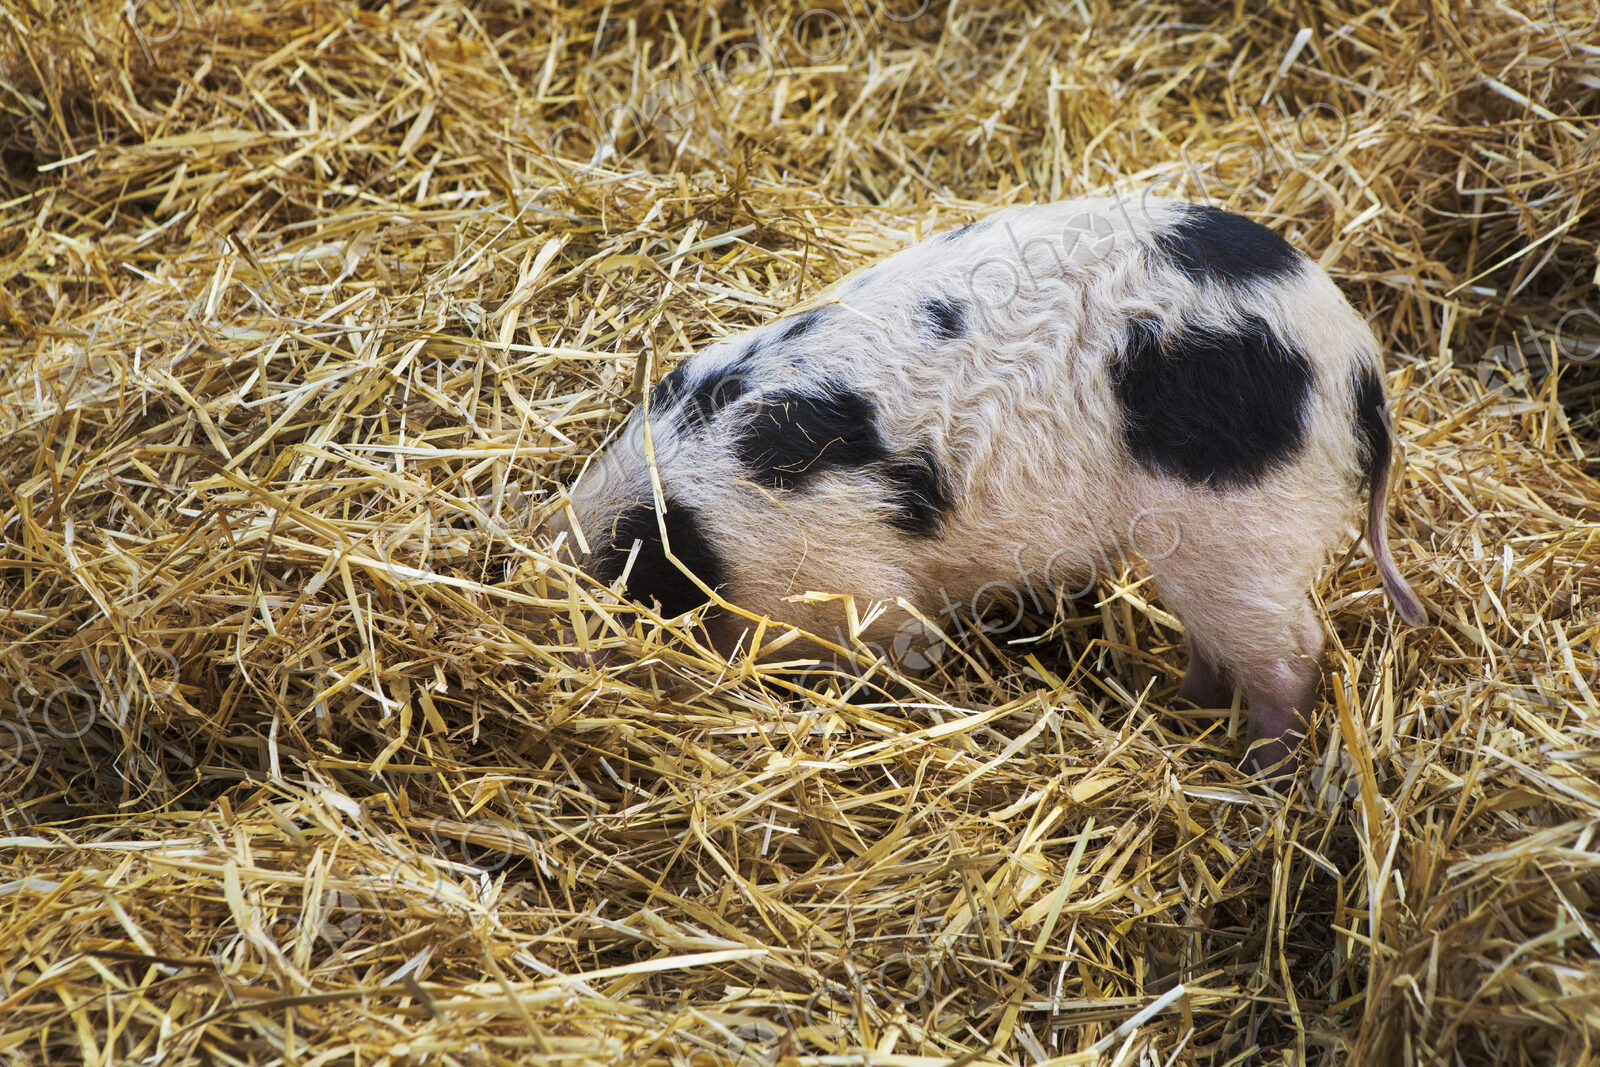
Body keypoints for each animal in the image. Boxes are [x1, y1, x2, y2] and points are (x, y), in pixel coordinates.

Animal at [551, 194, 1427, 777]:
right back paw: (1181, 701)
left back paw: (1260, 769)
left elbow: (901, 648)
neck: (694, 534)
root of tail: (1359, 368)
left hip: (1244, 528)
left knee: (1294, 650)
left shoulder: (853, 589)